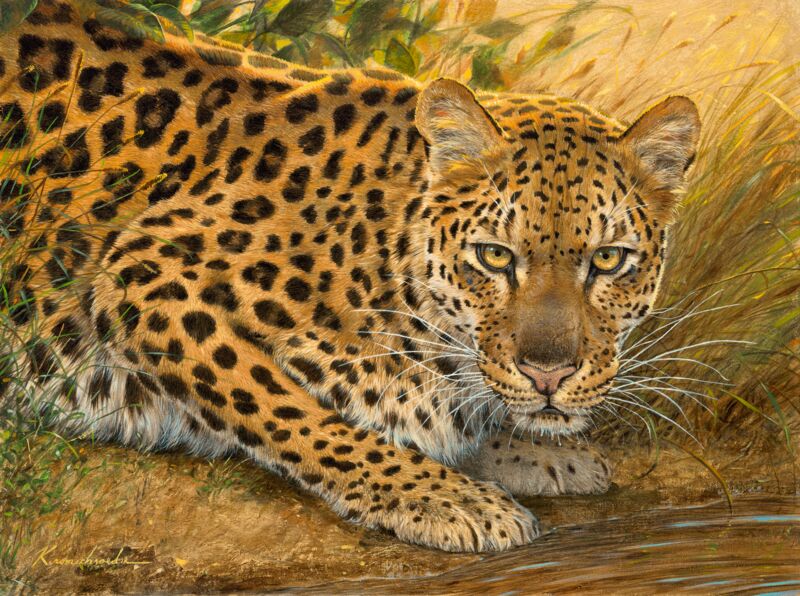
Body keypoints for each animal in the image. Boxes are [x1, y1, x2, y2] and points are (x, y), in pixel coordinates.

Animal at [0, 1, 700, 552]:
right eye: (496, 257)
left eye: (607, 259)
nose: (549, 374)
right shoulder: (146, 273)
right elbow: (288, 409)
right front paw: (446, 499)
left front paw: (539, 451)